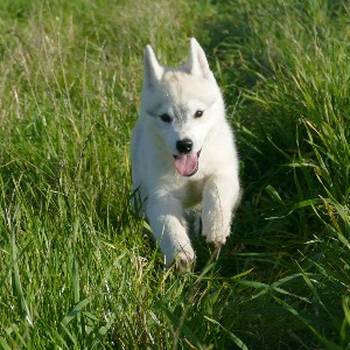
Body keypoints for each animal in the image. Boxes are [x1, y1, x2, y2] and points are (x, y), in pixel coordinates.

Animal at [131, 37, 241, 268]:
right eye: (165, 117)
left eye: (198, 113)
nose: (184, 145)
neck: (191, 175)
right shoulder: (160, 195)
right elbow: (168, 224)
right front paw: (180, 252)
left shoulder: (225, 174)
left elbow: (215, 191)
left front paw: (215, 227)